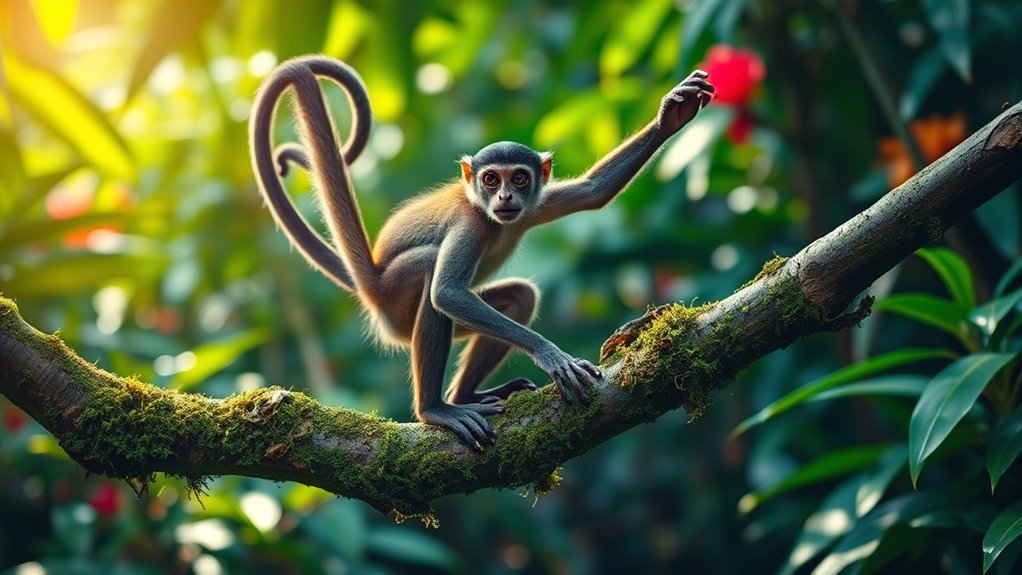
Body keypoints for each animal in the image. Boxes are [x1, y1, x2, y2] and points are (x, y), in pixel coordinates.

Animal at [249, 55, 714, 450]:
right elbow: (446, 294)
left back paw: (465, 396)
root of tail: (372, 279)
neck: (492, 219)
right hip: (395, 301)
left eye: (519, 178)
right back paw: (435, 410)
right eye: (491, 179)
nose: (505, 196)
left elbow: (595, 191)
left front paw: (671, 114)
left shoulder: (535, 203)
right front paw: (552, 356)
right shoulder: (469, 224)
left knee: (520, 296)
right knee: (431, 277)